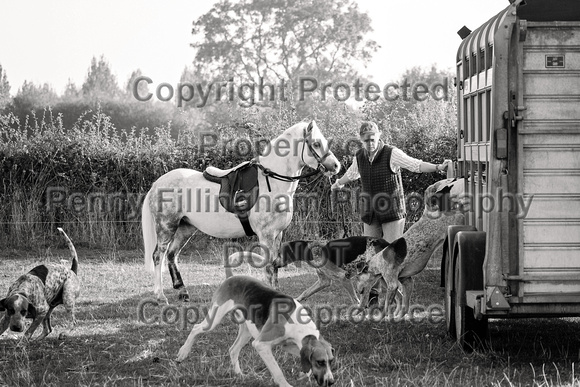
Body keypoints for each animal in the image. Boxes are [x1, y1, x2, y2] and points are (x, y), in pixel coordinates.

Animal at [141, 120, 340, 304]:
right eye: (316, 143)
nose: (336, 166)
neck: (272, 181)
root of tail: (156, 184)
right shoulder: (266, 235)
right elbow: (269, 268)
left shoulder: (278, 234)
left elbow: (275, 266)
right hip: (166, 226)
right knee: (158, 255)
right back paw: (160, 296)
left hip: (185, 228)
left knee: (172, 254)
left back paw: (182, 291)